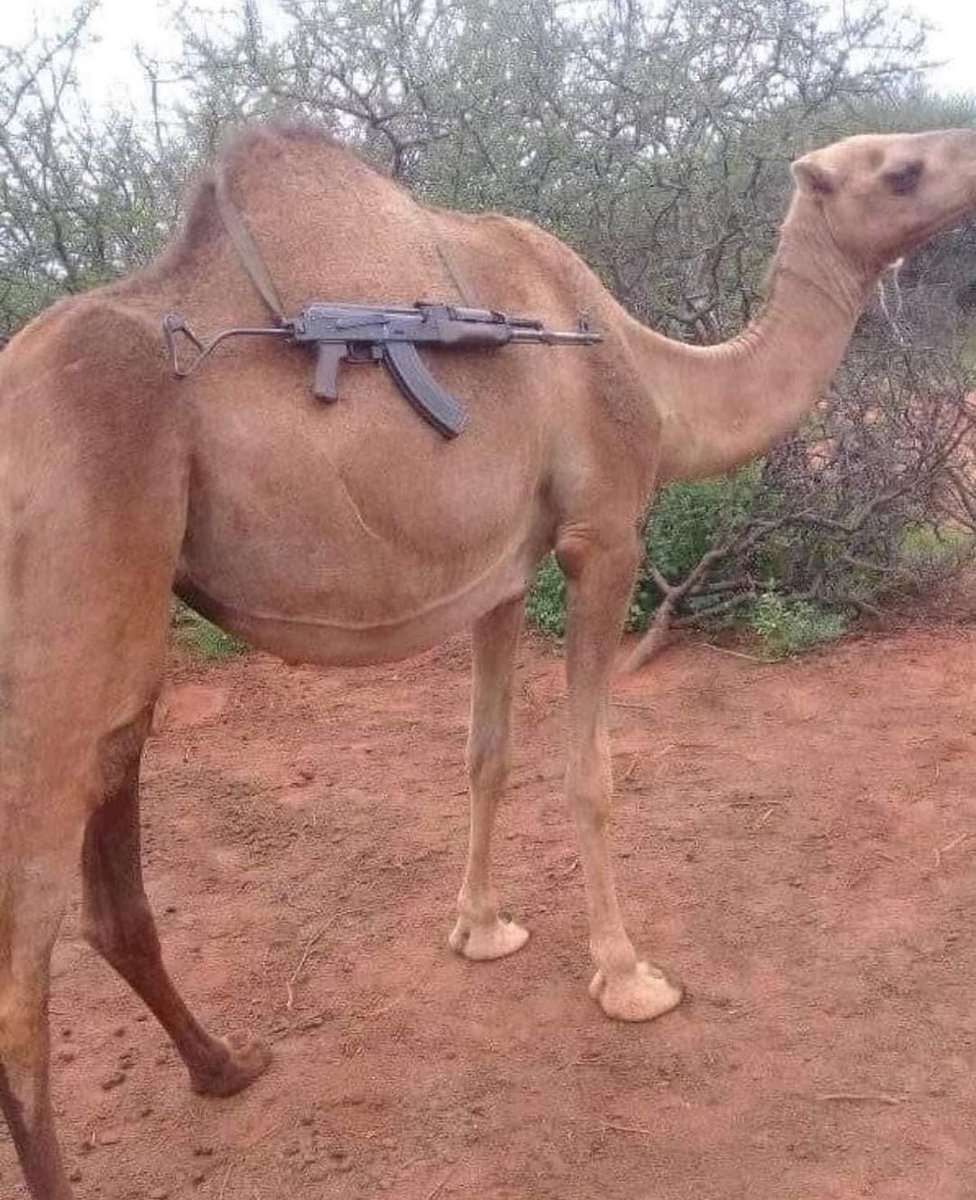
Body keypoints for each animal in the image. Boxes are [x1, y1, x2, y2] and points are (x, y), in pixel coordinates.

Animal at [2, 122, 976, 1199]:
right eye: (898, 170)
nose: (967, 153)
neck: (647, 376)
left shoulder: (502, 570)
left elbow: (487, 754)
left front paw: (481, 931)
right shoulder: (603, 538)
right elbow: (590, 771)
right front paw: (629, 979)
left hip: (128, 638)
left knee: (110, 891)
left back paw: (226, 1065)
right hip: (62, 624)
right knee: (21, 975)